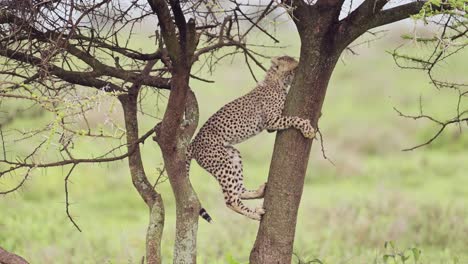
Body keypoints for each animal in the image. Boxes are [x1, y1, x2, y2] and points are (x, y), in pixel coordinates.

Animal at [188, 56, 316, 222]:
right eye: (294, 67)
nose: (299, 68)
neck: (276, 81)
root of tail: (193, 142)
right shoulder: (272, 121)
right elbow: (293, 119)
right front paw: (308, 129)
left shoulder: (271, 126)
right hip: (222, 163)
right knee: (230, 200)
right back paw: (255, 214)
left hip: (232, 155)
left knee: (238, 189)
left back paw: (259, 192)